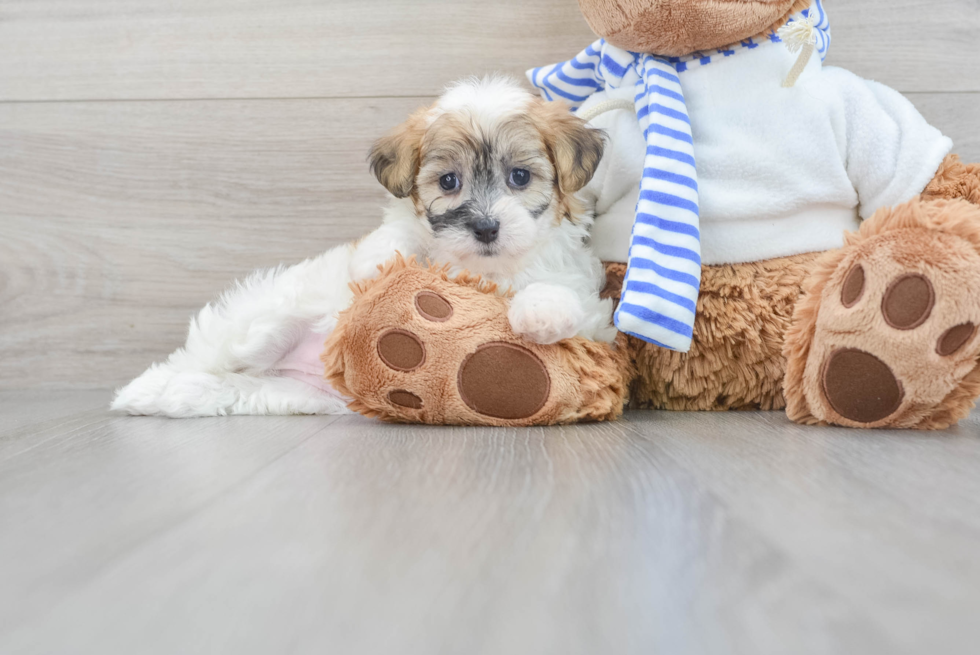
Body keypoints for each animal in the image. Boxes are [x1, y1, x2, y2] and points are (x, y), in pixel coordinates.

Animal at [109, 75, 612, 416]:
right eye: (449, 182)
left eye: (520, 177)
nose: (486, 227)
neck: (484, 268)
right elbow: (395, 232)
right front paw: (376, 263)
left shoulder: (587, 302)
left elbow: (561, 290)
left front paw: (542, 312)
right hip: (262, 324)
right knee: (210, 354)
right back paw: (143, 390)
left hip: (286, 393)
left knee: (223, 387)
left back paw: (167, 395)